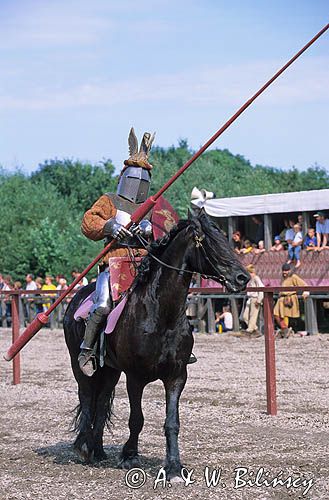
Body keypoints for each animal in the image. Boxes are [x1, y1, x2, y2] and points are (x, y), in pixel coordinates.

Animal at [63, 209, 249, 478]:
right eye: (208, 241)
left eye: (225, 238)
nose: (242, 277)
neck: (161, 314)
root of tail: (76, 299)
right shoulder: (135, 377)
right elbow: (136, 419)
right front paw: (129, 456)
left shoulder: (176, 376)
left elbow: (172, 422)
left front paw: (174, 467)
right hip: (80, 366)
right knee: (87, 396)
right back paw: (84, 448)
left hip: (110, 370)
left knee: (102, 399)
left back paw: (97, 450)